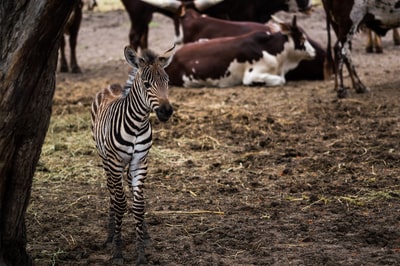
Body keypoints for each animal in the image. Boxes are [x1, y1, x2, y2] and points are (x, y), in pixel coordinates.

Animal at [92, 44, 177, 264]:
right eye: (147, 84)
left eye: (167, 82)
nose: (166, 111)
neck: (138, 124)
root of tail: (112, 86)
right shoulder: (114, 161)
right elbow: (120, 203)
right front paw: (117, 250)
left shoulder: (140, 161)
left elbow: (139, 204)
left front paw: (141, 252)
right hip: (105, 159)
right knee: (112, 192)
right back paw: (110, 234)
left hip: (128, 165)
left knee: (129, 189)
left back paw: (143, 233)